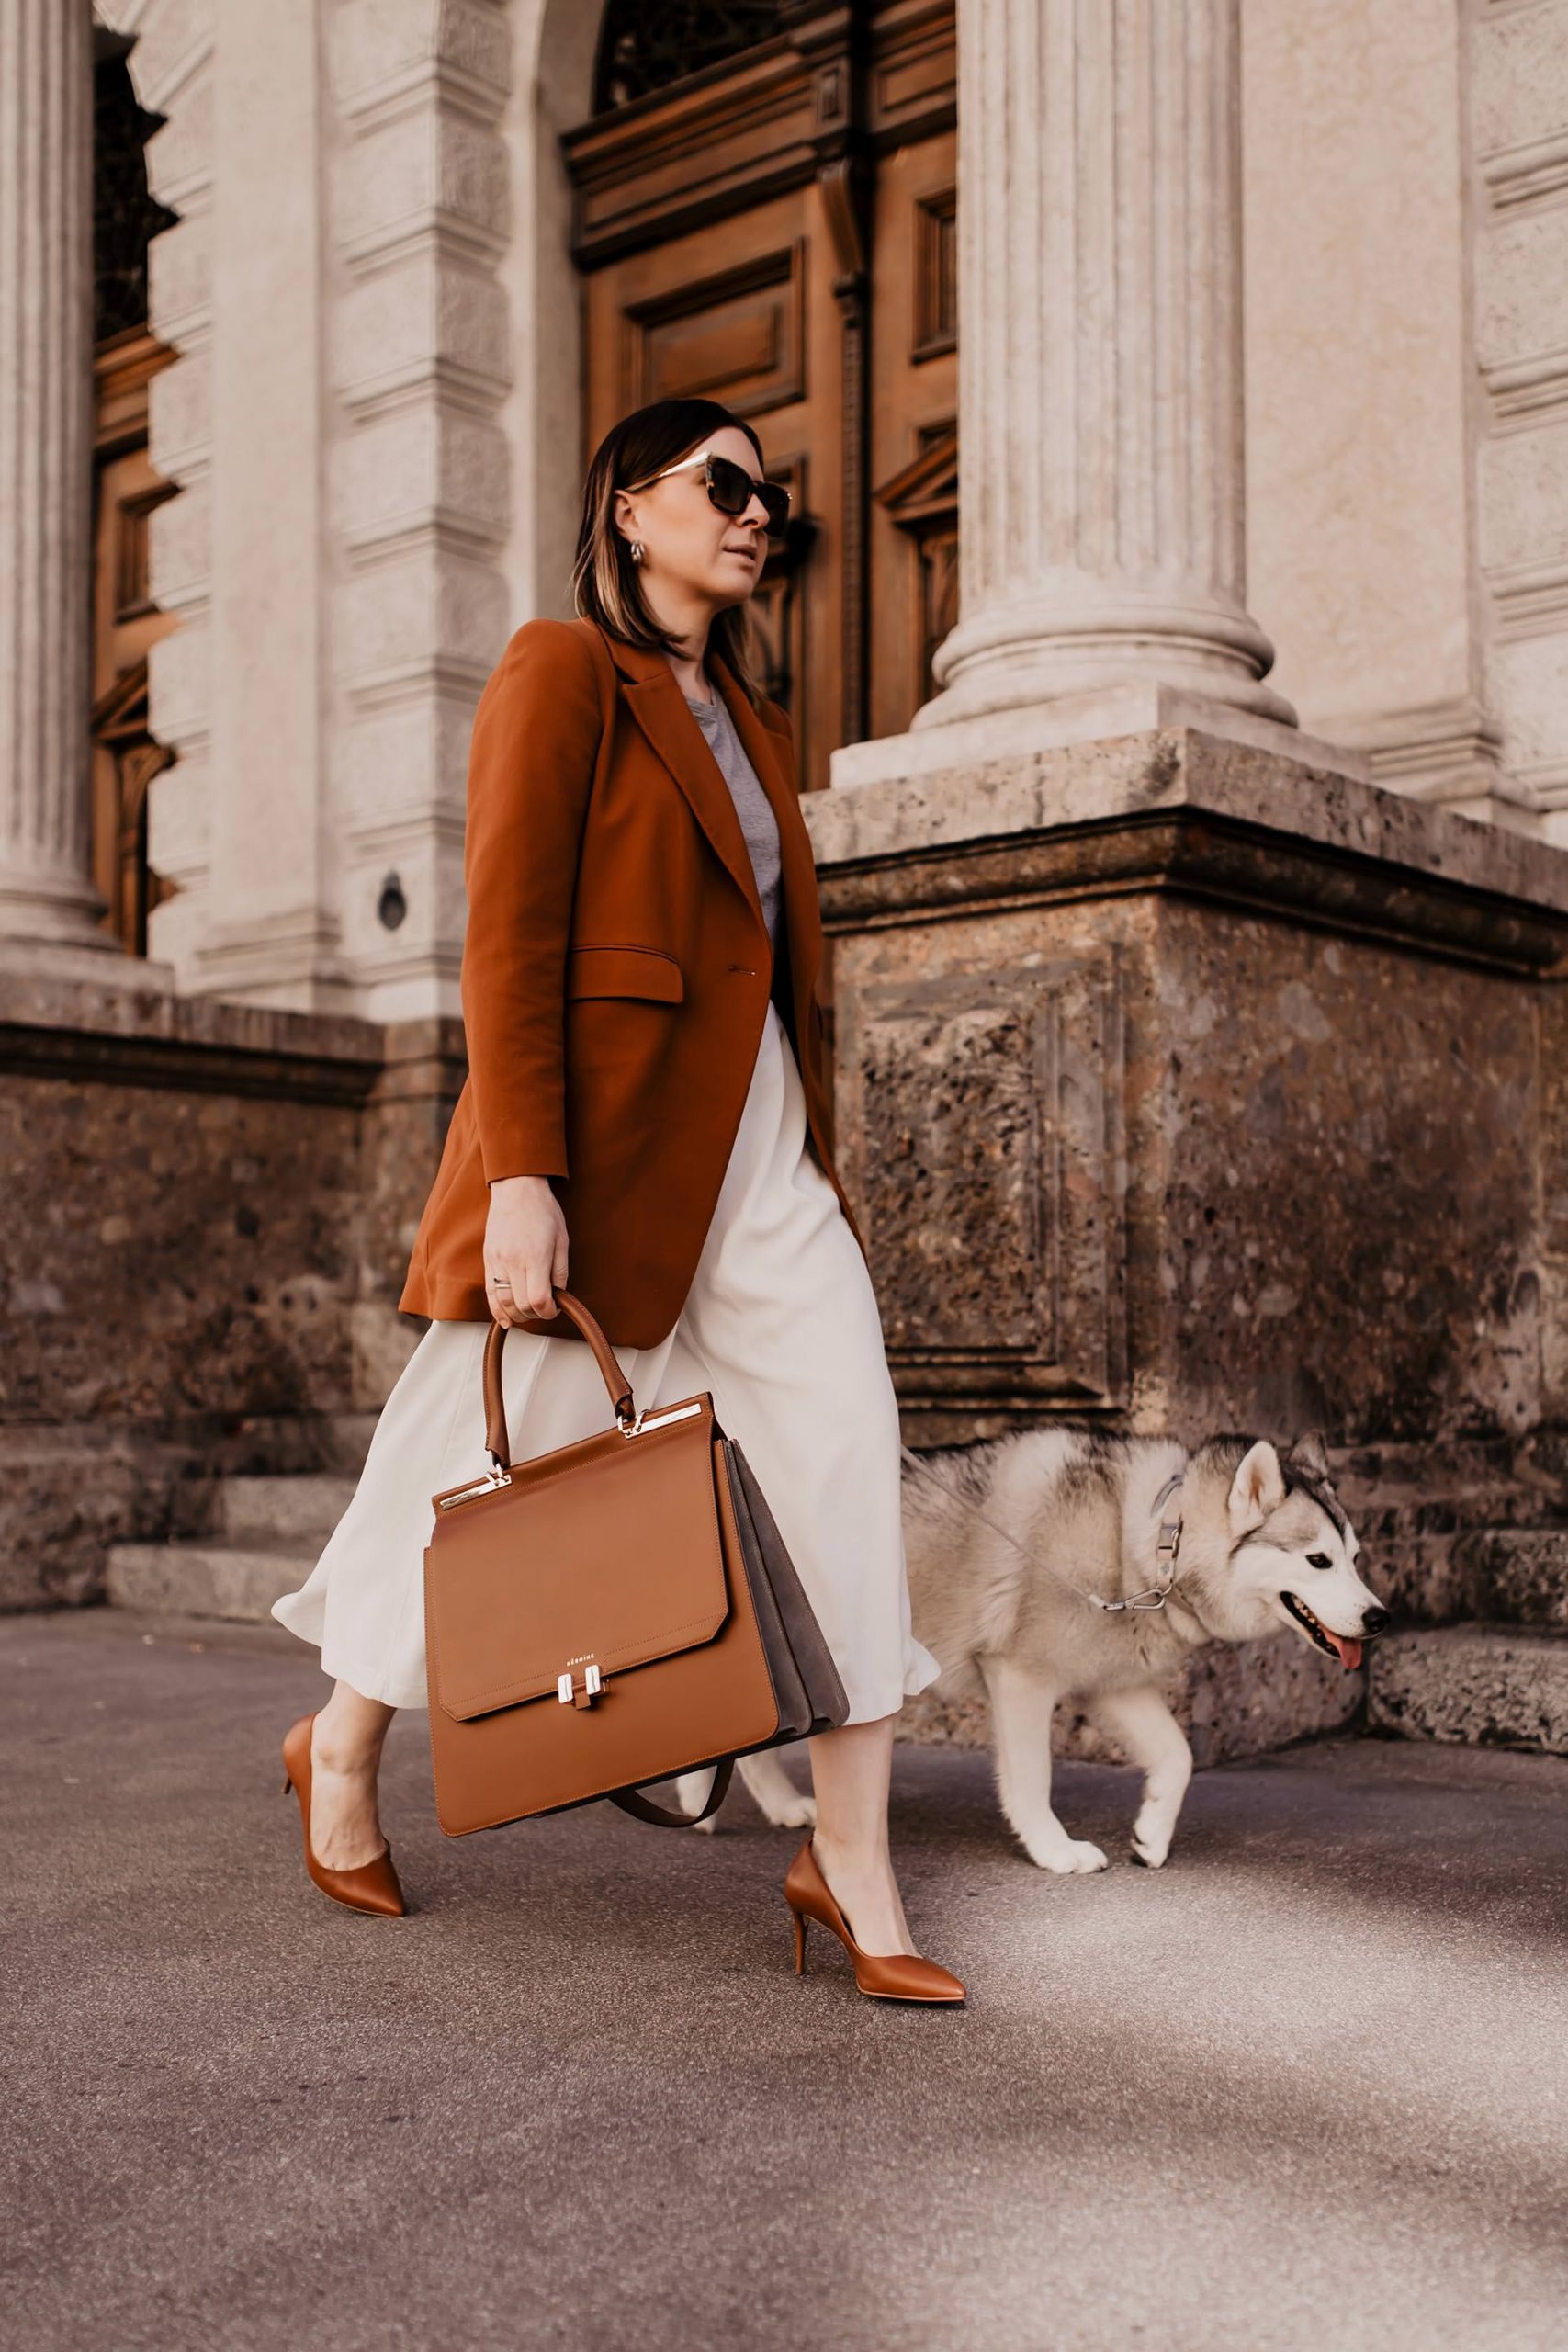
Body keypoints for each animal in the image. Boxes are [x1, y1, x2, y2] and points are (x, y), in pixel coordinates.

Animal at [682, 1420, 1392, 1862]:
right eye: (1318, 1561)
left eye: (1355, 1558)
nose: (1380, 1618)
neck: (1149, 1536)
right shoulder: (1020, 1679)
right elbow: (1031, 1778)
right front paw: (1052, 1851)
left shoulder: (1114, 1686)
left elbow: (1179, 1758)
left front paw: (1152, 1833)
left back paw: (759, 1804)